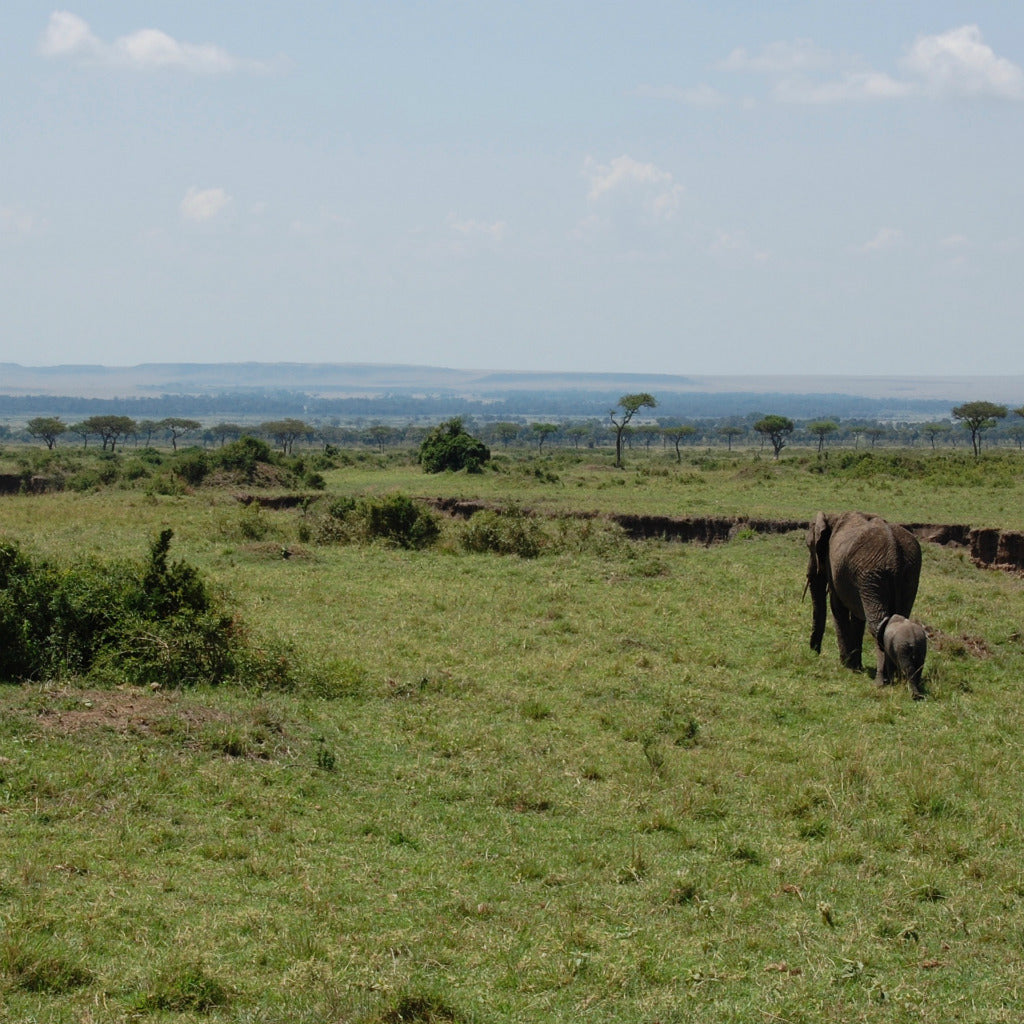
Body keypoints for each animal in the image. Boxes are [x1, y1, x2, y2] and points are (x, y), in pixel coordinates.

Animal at [802, 509, 925, 688]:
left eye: (808, 546)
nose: (814, 652)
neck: (832, 516)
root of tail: (895, 554)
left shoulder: (836, 569)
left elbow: (837, 607)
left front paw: (846, 665)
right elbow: (857, 617)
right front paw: (855, 666)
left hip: (872, 576)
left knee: (877, 625)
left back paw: (881, 681)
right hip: (908, 575)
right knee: (898, 617)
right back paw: (897, 678)